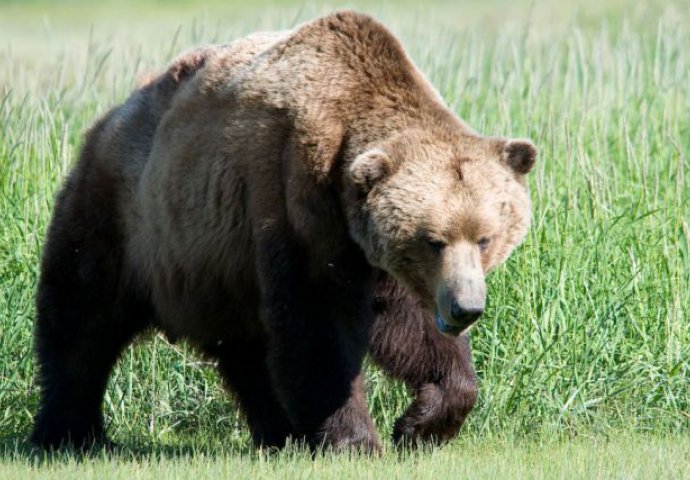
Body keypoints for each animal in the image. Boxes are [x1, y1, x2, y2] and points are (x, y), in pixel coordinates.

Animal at [30, 11, 532, 454]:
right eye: (433, 240)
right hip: (126, 219)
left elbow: (409, 327)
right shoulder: (297, 198)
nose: (466, 308)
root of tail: (110, 117)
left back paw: (279, 432)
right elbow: (318, 323)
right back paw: (69, 433)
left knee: (246, 351)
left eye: (485, 237)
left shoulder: (371, 251)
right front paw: (355, 440)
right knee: (81, 319)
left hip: (218, 267)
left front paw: (420, 422)